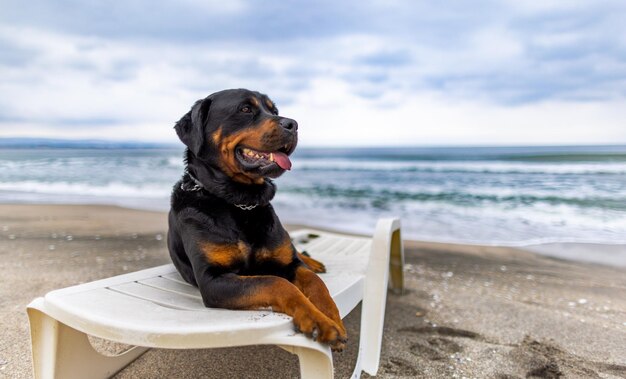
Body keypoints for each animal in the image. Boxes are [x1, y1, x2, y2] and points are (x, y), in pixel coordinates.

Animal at [166, 88, 346, 350]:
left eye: (274, 110)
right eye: (245, 109)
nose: (293, 124)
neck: (239, 204)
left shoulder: (289, 264)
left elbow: (314, 282)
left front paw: (331, 316)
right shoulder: (213, 280)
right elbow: (276, 282)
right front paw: (317, 320)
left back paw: (312, 261)